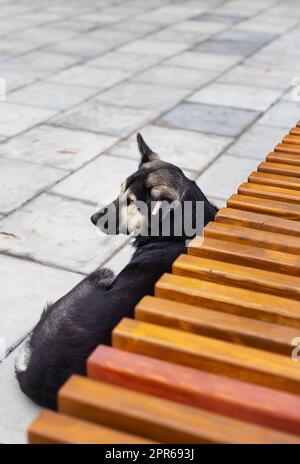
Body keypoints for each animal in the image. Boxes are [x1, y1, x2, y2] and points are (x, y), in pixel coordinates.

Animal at [15, 132, 218, 408]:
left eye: (131, 202)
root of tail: (28, 371)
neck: (179, 230)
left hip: (102, 272)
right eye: (120, 190)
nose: (92, 218)